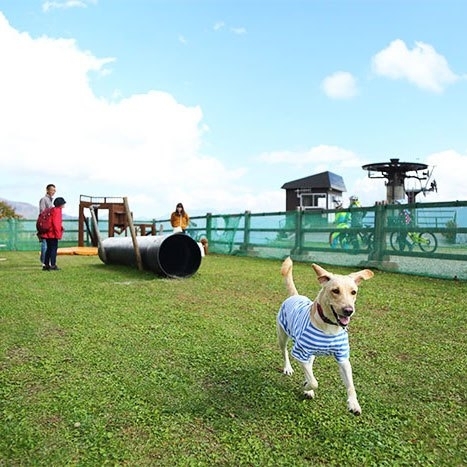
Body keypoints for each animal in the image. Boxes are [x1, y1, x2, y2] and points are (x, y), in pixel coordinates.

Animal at [276, 258, 374, 414]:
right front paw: (307, 387)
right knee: (284, 351)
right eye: (335, 291)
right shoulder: (300, 352)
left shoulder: (343, 357)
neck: (330, 326)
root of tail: (295, 296)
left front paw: (354, 404)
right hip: (282, 335)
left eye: (354, 292)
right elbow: (314, 382)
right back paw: (288, 368)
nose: (349, 311)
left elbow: (350, 384)